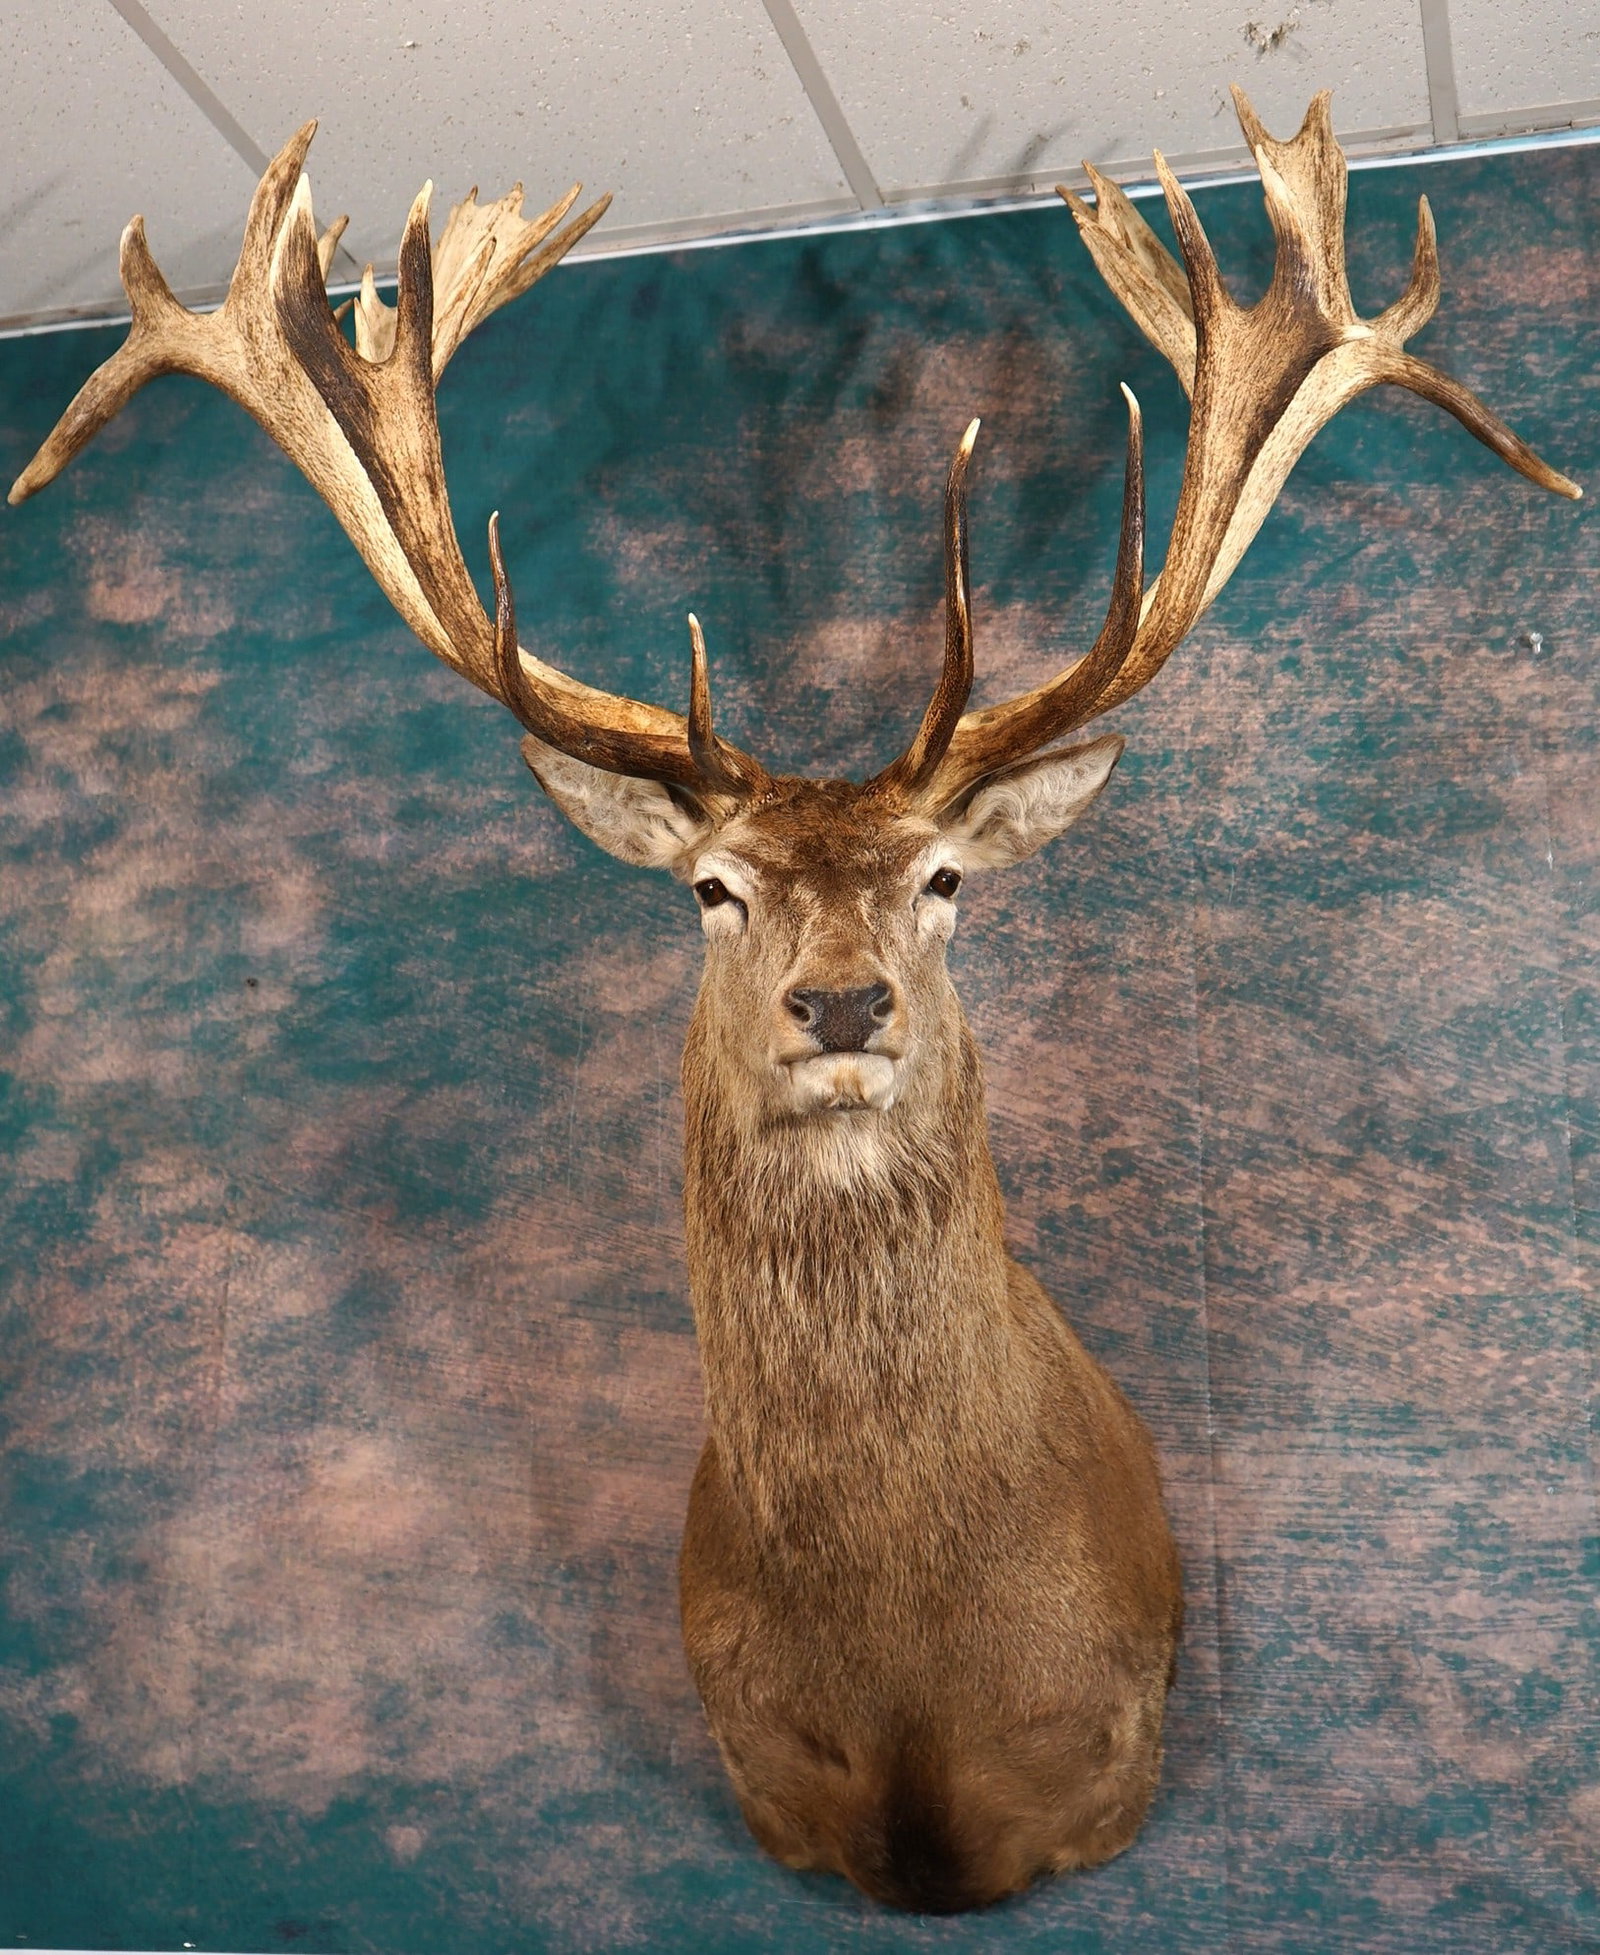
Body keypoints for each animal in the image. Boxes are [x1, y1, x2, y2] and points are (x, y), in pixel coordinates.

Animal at [8, 89, 1578, 1915]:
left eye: (947, 879)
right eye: (713, 888)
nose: (842, 1004)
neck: (909, 1668)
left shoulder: (1109, 1744)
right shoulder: (765, 1778)